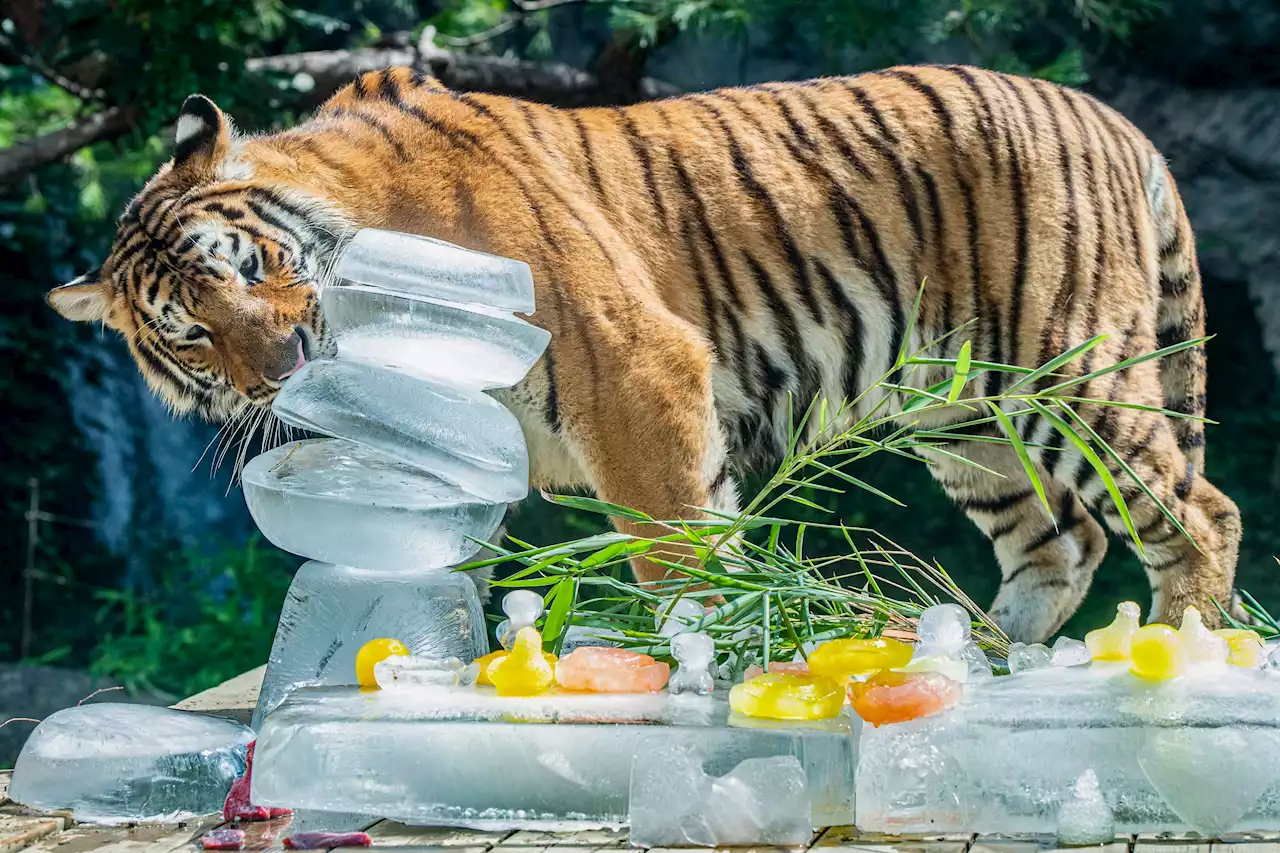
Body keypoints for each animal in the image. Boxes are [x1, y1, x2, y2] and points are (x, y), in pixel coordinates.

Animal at [47, 63, 1239, 640]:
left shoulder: (636, 373)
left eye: (248, 265)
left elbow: (678, 552)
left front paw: (704, 659)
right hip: (961, 412)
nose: (285, 366)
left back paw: (1173, 657)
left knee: (1196, 512)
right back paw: (992, 658)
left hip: (1071, 370)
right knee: (1061, 542)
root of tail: (1111, 117)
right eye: (191, 334)